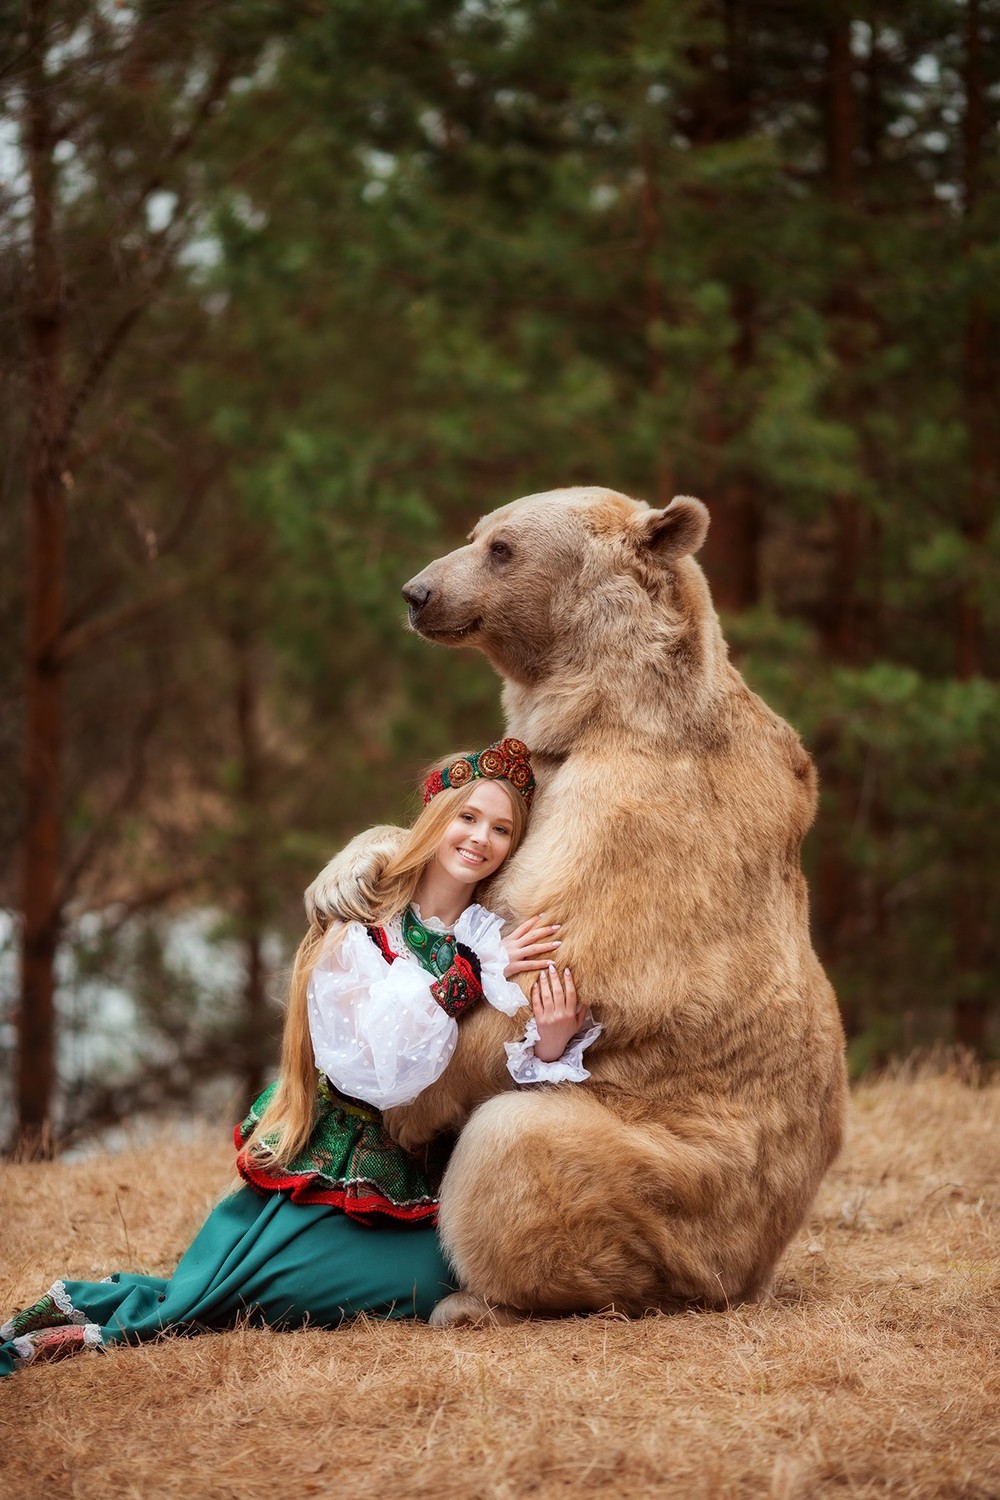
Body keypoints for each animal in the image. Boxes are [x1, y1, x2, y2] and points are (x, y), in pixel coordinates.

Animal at [308, 486, 851, 1320]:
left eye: (501, 547)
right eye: (477, 533)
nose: (417, 594)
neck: (601, 708)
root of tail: (758, 1267)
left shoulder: (637, 821)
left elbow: (563, 961)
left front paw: (405, 1105)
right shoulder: (544, 774)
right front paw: (347, 872)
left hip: (691, 1187)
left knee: (519, 1147)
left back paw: (477, 1300)